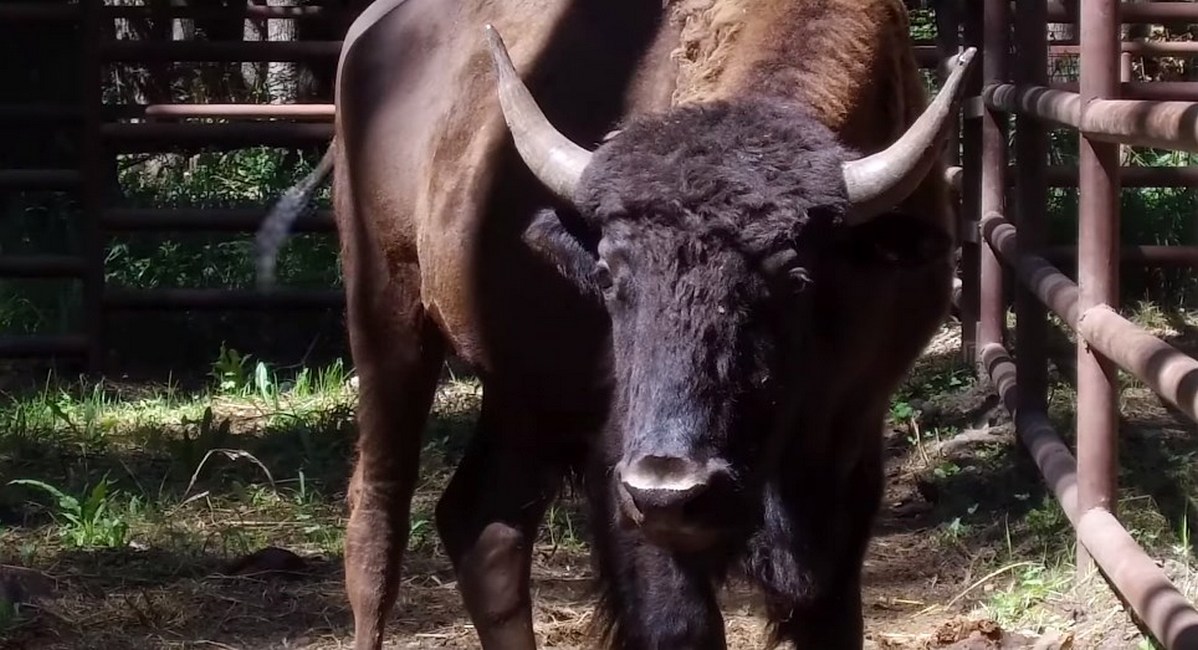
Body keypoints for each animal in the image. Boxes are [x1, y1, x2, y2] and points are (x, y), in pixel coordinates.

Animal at [252, 1, 972, 650]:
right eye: (608, 276)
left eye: (794, 277)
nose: (670, 485)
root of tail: (368, 31)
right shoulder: (625, 472)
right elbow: (678, 625)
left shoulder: (851, 447)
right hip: (388, 317)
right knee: (378, 523)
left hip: (526, 394)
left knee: (483, 524)